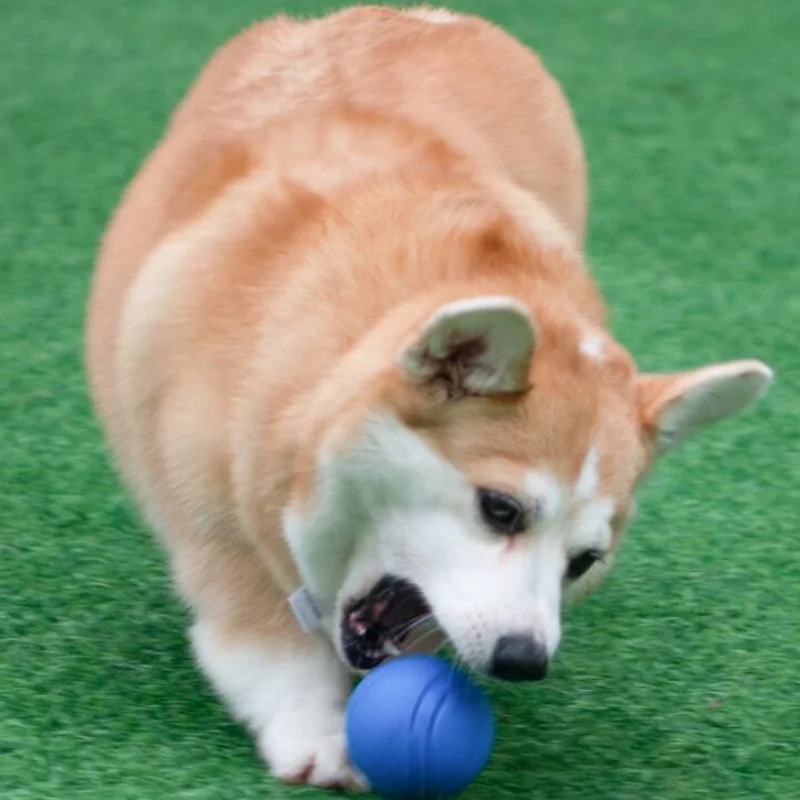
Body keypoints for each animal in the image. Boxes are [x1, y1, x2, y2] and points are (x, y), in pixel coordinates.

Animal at [86, 4, 776, 792]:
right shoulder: (215, 518)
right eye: (501, 510)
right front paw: (316, 734)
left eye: (584, 561)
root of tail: (414, 15)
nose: (524, 661)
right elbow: (264, 638)